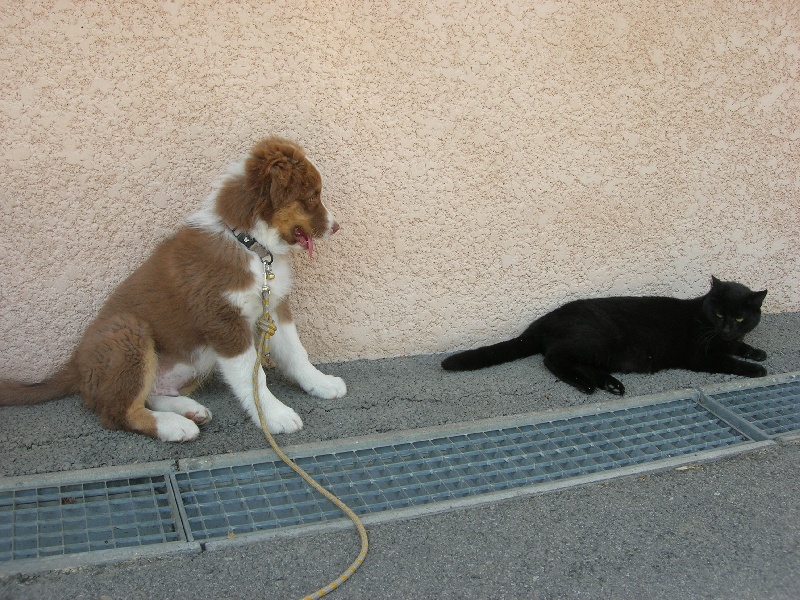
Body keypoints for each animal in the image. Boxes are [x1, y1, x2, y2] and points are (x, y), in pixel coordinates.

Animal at [0, 138, 346, 442]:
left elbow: (296, 352)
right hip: (129, 331)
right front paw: (275, 415)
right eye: (312, 197)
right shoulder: (223, 322)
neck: (250, 245)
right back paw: (172, 426)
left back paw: (187, 410)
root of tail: (75, 366)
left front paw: (321, 383)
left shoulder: (272, 306)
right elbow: (254, 376)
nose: (337, 227)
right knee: (116, 413)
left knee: (151, 393)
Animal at [444, 278, 768, 396]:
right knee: (553, 358)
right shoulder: (702, 355)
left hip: (603, 351)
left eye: (740, 318)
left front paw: (757, 352)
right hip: (598, 340)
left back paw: (610, 384)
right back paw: (587, 385)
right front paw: (757, 369)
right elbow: (730, 362)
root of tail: (547, 318)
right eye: (720, 314)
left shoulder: (730, 341)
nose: (727, 327)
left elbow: (740, 346)